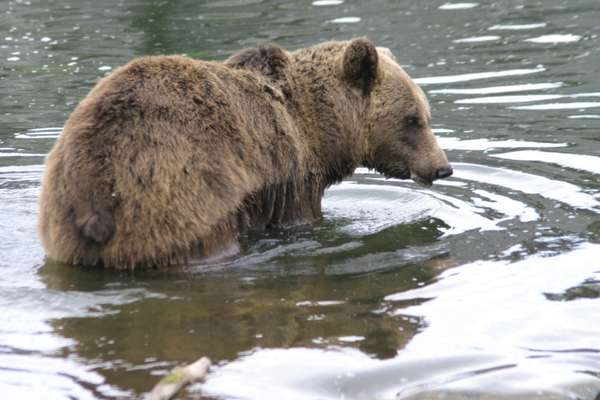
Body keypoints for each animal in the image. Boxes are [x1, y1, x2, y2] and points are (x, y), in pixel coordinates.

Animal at [37, 38, 452, 268]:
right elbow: (302, 219)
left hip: (64, 220)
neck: (321, 129)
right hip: (174, 190)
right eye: (414, 119)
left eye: (426, 115)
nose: (443, 167)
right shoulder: (291, 177)